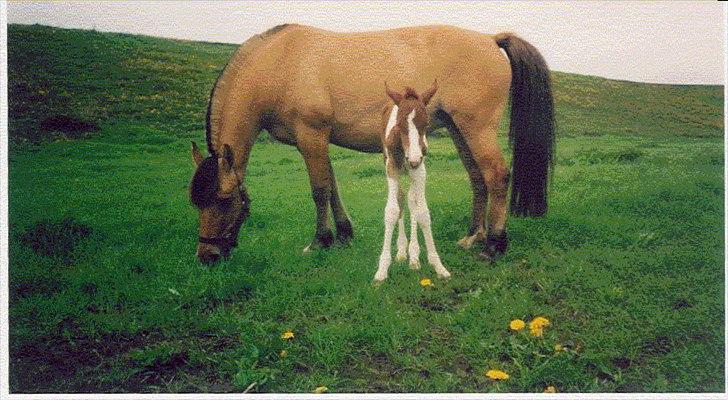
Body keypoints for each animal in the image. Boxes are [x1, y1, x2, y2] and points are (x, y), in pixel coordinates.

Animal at [376, 82, 450, 282]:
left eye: (426, 124)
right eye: (400, 124)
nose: (414, 159)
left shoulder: (420, 170)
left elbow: (421, 211)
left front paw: (438, 265)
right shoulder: (391, 167)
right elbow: (392, 210)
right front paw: (382, 269)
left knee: (411, 201)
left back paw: (414, 256)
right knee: (401, 198)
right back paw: (402, 251)